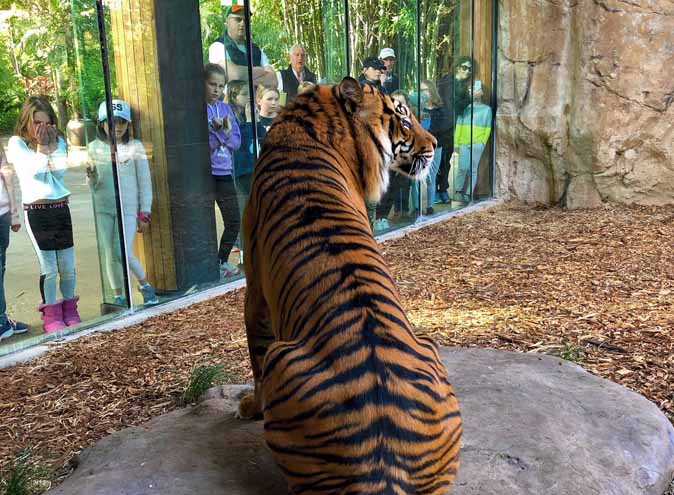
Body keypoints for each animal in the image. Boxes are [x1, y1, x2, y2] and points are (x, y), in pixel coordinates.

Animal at [238, 77, 462, 495]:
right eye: (404, 120)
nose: (435, 143)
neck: (316, 120)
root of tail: (384, 461)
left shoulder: (255, 292)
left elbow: (255, 362)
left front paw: (248, 407)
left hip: (280, 355)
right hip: (429, 342)